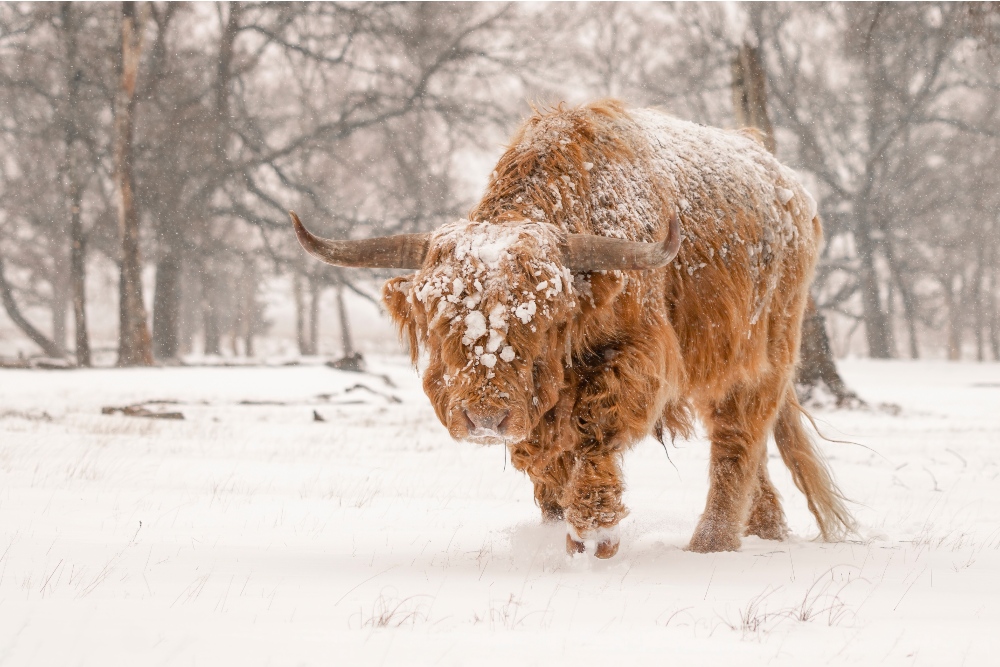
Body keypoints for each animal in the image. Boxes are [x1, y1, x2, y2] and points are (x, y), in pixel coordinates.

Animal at [290, 99, 852, 560]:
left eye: (541, 321)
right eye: (445, 320)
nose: (485, 417)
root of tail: (790, 187)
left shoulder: (635, 355)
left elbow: (594, 432)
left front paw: (593, 532)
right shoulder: (541, 404)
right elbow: (546, 455)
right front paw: (554, 519)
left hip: (764, 350)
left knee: (738, 438)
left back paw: (711, 543)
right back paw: (765, 528)